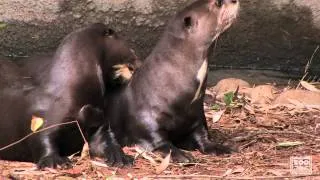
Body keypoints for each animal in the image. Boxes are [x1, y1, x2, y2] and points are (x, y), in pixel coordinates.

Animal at [0, 23, 140, 168]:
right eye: (131, 50)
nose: (137, 60)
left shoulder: (99, 122)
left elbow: (106, 140)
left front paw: (121, 157)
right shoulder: (41, 120)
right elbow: (42, 138)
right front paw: (55, 160)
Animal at [105, 0, 240, 162]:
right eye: (218, 3)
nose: (234, 0)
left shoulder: (197, 116)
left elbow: (202, 135)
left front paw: (220, 148)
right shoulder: (146, 120)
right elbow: (158, 141)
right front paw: (181, 155)